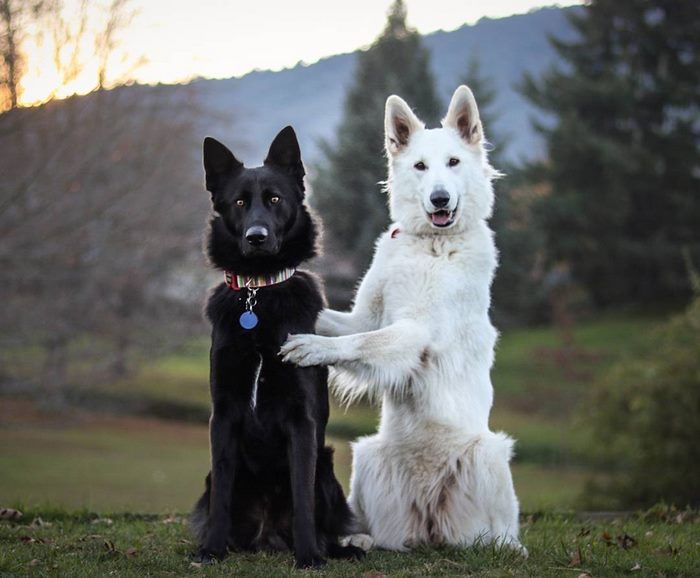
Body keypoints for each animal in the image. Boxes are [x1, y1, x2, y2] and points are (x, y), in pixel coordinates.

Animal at [193, 127, 364, 568]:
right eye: (239, 202)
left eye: (274, 199)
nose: (256, 238)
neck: (259, 294)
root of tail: (267, 534)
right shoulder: (224, 414)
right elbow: (221, 497)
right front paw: (211, 549)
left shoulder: (301, 420)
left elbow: (302, 497)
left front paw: (309, 557)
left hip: (327, 467)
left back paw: (332, 549)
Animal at [282, 84, 524, 548]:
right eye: (420, 166)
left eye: (453, 163)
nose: (439, 198)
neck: (430, 243)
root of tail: (429, 524)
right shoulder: (366, 317)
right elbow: (341, 324)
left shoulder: (415, 333)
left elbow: (360, 342)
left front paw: (312, 348)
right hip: (366, 456)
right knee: (380, 532)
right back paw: (360, 539)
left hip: (488, 455)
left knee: (497, 533)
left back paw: (503, 547)